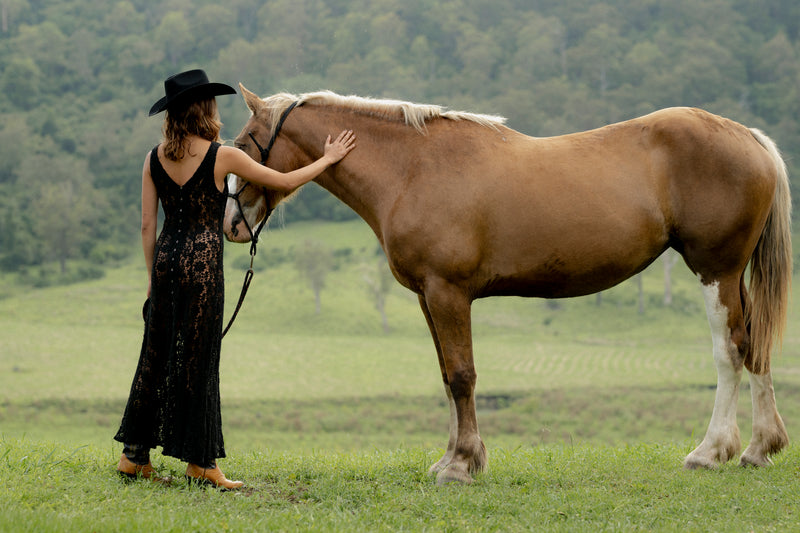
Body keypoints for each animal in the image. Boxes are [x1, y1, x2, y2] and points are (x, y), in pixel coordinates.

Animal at [222, 85, 792, 484]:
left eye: (245, 144)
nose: (232, 225)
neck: (411, 169)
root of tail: (751, 139)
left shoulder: (449, 292)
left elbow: (461, 376)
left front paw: (460, 465)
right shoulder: (429, 297)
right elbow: (446, 377)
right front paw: (453, 458)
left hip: (716, 270)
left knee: (730, 350)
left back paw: (710, 451)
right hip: (733, 276)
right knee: (756, 346)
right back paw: (759, 448)